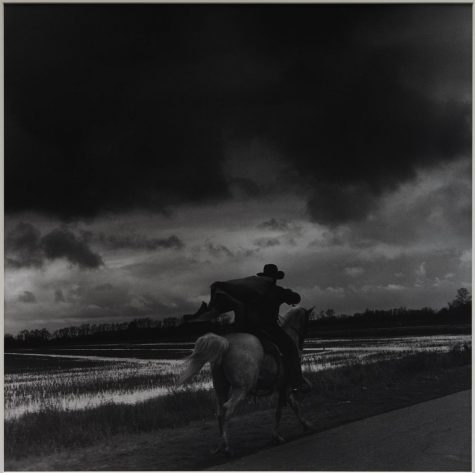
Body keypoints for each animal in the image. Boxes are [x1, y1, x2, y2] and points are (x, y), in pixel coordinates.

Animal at [178, 306, 314, 456]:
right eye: (307, 325)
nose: (301, 346)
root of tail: (226, 344)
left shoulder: (283, 388)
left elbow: (294, 407)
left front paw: (305, 425)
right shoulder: (286, 387)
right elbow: (282, 412)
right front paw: (277, 436)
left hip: (221, 388)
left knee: (220, 413)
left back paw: (220, 446)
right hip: (241, 389)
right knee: (227, 410)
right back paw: (227, 447)